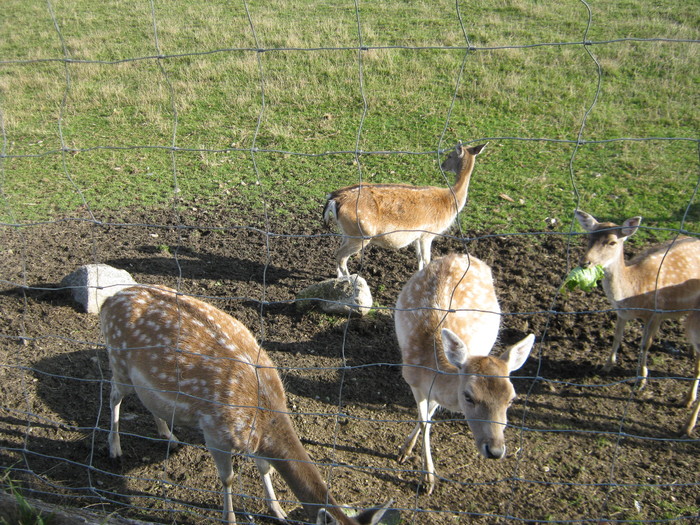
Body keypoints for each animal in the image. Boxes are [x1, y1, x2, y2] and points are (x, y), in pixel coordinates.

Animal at [99, 284, 394, 520]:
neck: (264, 413)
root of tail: (108, 300)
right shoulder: (214, 431)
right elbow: (228, 478)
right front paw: (229, 518)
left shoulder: (255, 440)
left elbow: (265, 467)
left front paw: (278, 510)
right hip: (118, 361)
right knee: (113, 396)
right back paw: (114, 449)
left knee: (147, 401)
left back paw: (169, 436)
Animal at [322, 139, 486, 278]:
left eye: (450, 155)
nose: (443, 165)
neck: (451, 200)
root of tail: (334, 199)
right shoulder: (428, 233)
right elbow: (427, 260)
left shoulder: (418, 235)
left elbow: (419, 258)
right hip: (361, 233)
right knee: (340, 255)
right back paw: (349, 281)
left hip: (347, 232)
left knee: (338, 252)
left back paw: (339, 279)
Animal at [394, 252, 536, 494]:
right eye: (468, 396)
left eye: (512, 399)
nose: (495, 451)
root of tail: (461, 255)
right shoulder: (411, 379)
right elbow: (425, 421)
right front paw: (426, 477)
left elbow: (428, 415)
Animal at [576, 209, 700, 434]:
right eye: (589, 237)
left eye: (612, 242)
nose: (585, 262)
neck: (632, 292)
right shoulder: (621, 313)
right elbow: (616, 337)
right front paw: (607, 365)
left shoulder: (656, 314)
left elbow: (644, 344)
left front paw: (641, 379)